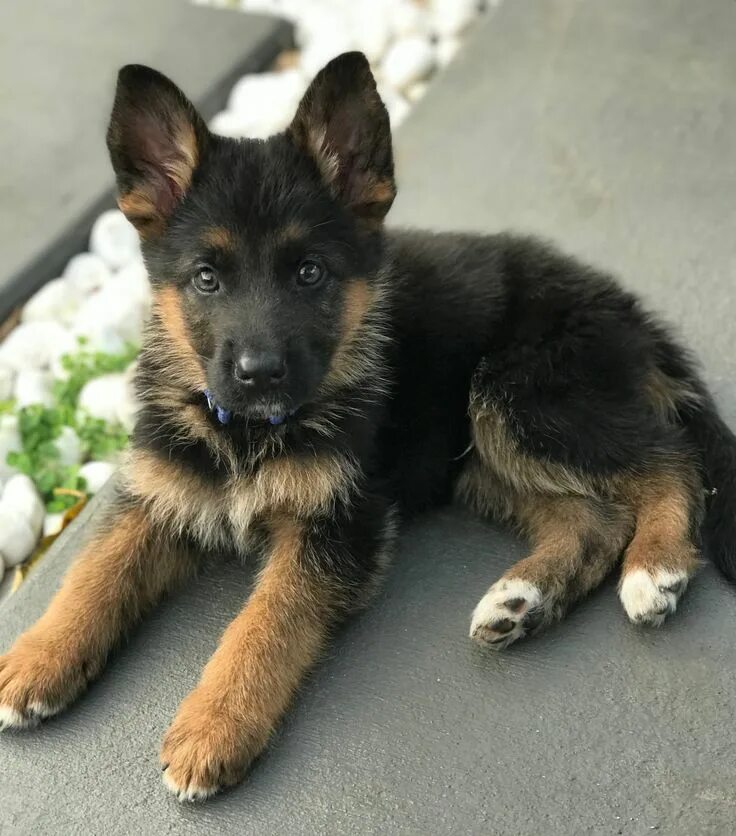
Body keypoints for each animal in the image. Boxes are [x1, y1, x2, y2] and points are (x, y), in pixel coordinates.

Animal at [1, 54, 736, 804]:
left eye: (309, 272)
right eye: (206, 278)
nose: (259, 373)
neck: (245, 432)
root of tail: (626, 310)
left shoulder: (341, 520)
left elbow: (265, 622)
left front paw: (214, 725)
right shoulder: (155, 493)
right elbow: (92, 575)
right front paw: (33, 659)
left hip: (524, 398)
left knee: (671, 459)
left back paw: (657, 565)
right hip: (475, 457)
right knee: (593, 520)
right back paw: (524, 599)